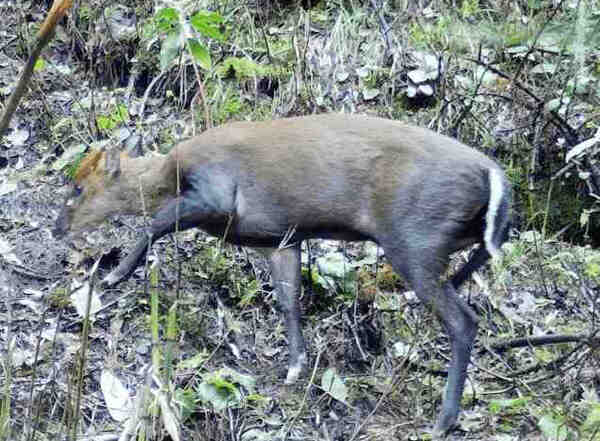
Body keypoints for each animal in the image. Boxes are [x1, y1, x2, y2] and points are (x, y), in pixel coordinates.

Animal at [52, 112, 510, 434]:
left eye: (78, 187)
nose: (57, 228)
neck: (170, 175)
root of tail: (496, 176)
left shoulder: (216, 193)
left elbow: (154, 224)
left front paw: (113, 276)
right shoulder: (280, 239)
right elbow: (289, 301)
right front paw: (295, 366)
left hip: (415, 237)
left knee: (464, 320)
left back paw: (443, 420)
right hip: (459, 241)